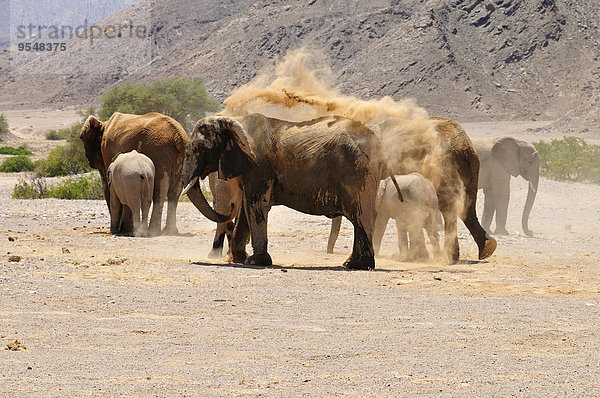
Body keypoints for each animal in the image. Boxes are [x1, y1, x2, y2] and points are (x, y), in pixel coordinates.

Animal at [179, 111, 404, 270]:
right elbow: (245, 209)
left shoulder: (259, 166)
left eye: (200, 148)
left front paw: (255, 262)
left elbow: (255, 205)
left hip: (358, 170)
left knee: (360, 215)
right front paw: (238, 260)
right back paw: (350, 264)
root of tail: (380, 145)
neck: (235, 120)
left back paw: (358, 266)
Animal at [328, 116, 496, 264]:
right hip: (472, 166)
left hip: (444, 166)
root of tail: (462, 145)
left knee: (450, 209)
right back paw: (483, 250)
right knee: (466, 208)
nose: (329, 252)